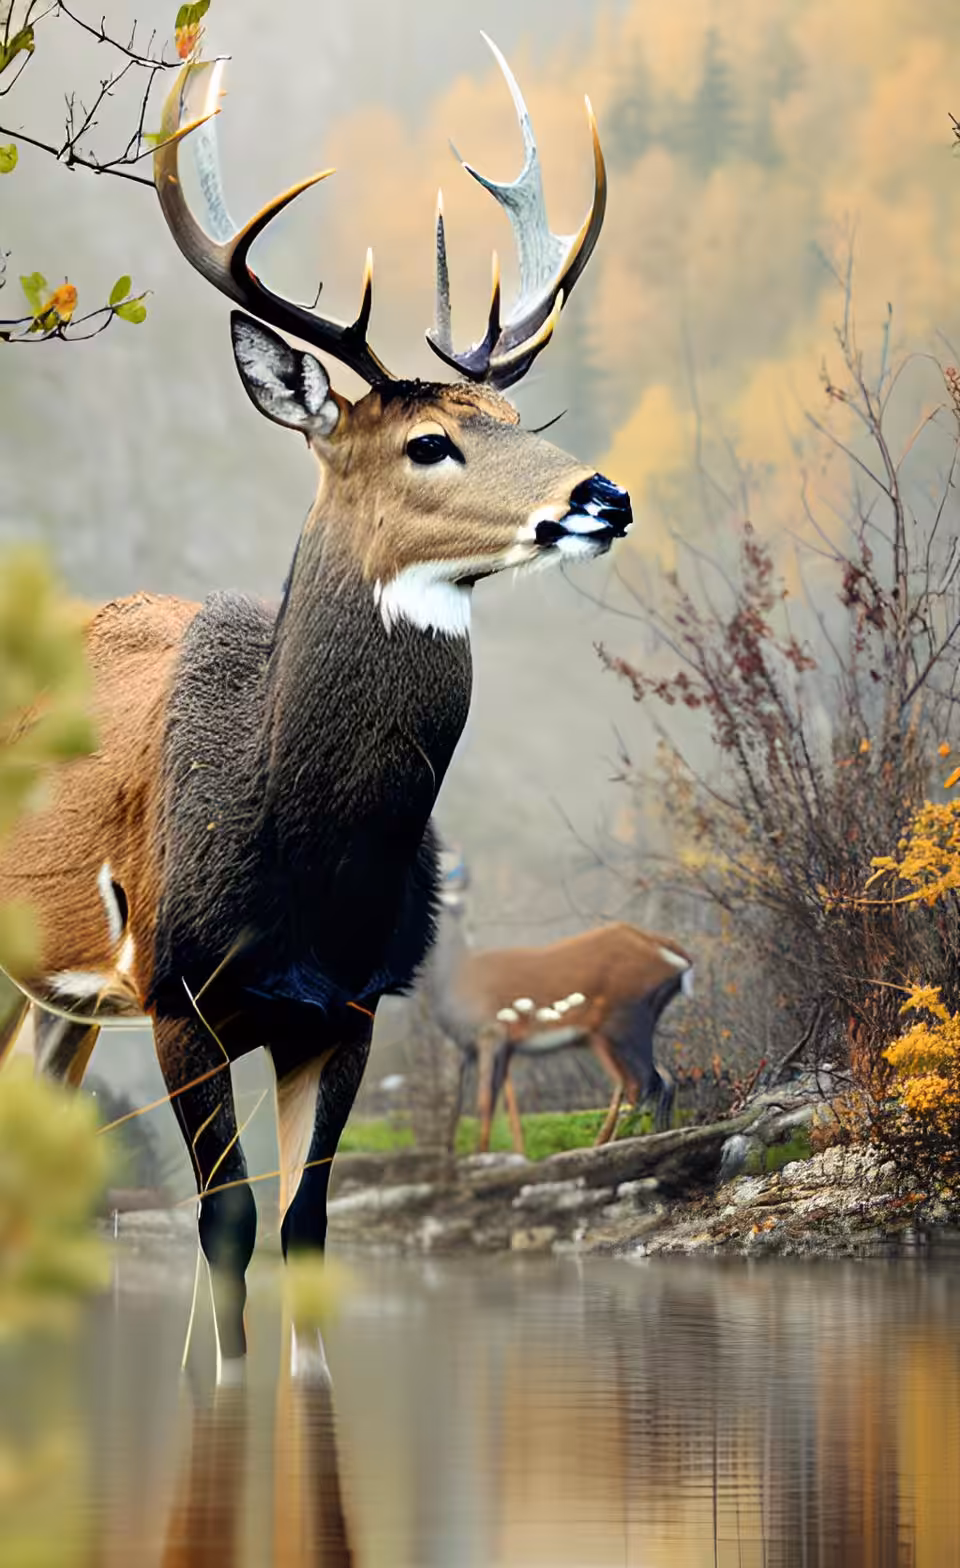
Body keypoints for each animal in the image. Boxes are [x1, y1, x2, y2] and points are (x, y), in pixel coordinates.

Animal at [0, 42, 631, 1377]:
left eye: (520, 419)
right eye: (430, 441)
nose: (604, 495)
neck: (303, 858)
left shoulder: (346, 1004)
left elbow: (306, 1229)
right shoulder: (180, 988)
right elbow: (228, 1227)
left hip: (60, 995)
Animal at [424, 854, 693, 1154]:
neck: (455, 979)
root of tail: (675, 956)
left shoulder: (490, 1032)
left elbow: (483, 1104)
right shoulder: (487, 1046)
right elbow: (471, 1106)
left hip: (623, 1018)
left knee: (643, 1083)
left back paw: (609, 1143)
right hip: (616, 1028)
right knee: (660, 1079)